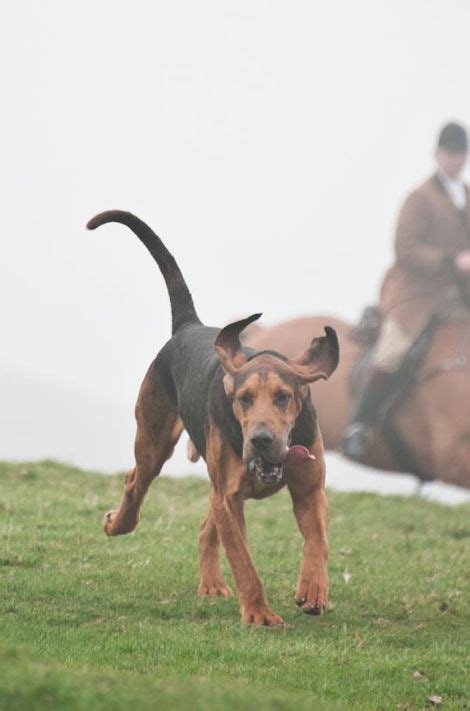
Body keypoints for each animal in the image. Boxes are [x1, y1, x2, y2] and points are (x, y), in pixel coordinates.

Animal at [87, 209, 338, 624]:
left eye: (284, 398)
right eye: (243, 399)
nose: (261, 440)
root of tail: (189, 326)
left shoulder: (309, 488)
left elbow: (317, 538)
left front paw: (313, 590)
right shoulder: (230, 497)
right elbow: (245, 563)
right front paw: (259, 614)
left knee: (206, 528)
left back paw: (212, 584)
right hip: (154, 442)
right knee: (135, 482)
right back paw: (117, 523)